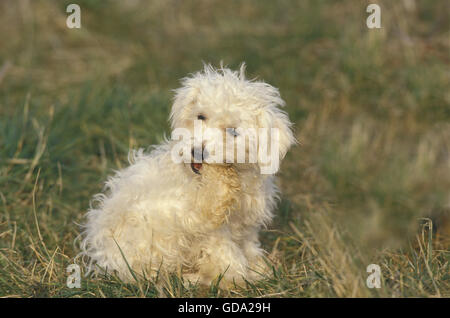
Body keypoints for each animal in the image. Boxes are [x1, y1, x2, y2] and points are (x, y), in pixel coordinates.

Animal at [78, 64, 296, 286]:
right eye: (201, 116)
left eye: (233, 131)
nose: (197, 151)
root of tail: (106, 260)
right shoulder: (205, 226)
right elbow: (225, 253)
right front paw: (236, 276)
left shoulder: (246, 222)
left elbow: (247, 246)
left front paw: (258, 268)